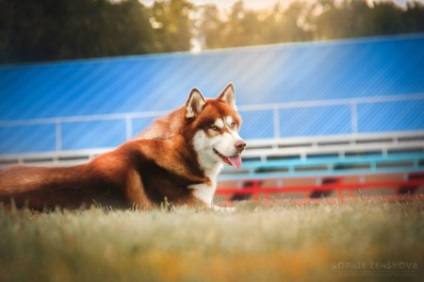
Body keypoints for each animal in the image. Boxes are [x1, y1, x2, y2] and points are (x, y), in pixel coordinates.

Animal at [0, 82, 245, 210]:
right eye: (214, 128)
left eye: (233, 125)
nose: (242, 145)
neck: (183, 156)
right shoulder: (189, 208)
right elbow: (237, 211)